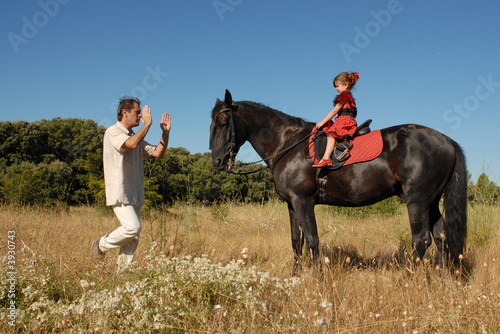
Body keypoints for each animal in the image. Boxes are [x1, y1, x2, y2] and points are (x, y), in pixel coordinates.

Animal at [209, 89, 466, 272]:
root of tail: (446, 141)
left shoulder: (303, 201)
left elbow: (312, 239)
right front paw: (296, 275)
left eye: (223, 123)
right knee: (441, 237)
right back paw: (441, 276)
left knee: (421, 241)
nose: (218, 161)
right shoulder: (291, 204)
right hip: (432, 202)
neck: (287, 144)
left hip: (417, 202)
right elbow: (296, 241)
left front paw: (316, 276)